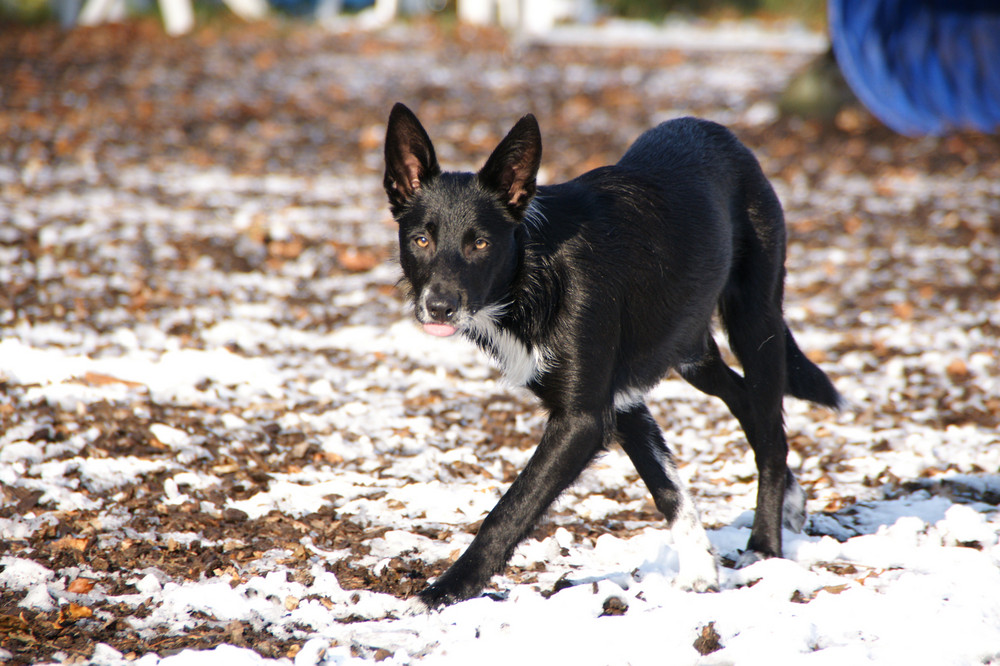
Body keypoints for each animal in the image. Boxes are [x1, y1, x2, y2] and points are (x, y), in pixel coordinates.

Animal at [380, 104, 836, 608]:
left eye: (480, 243)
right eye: (421, 240)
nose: (439, 306)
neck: (534, 273)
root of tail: (717, 131)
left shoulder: (582, 419)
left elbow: (510, 509)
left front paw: (447, 590)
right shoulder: (621, 400)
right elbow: (667, 487)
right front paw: (699, 574)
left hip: (756, 325)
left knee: (771, 434)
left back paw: (765, 547)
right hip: (691, 351)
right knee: (744, 402)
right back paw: (790, 500)